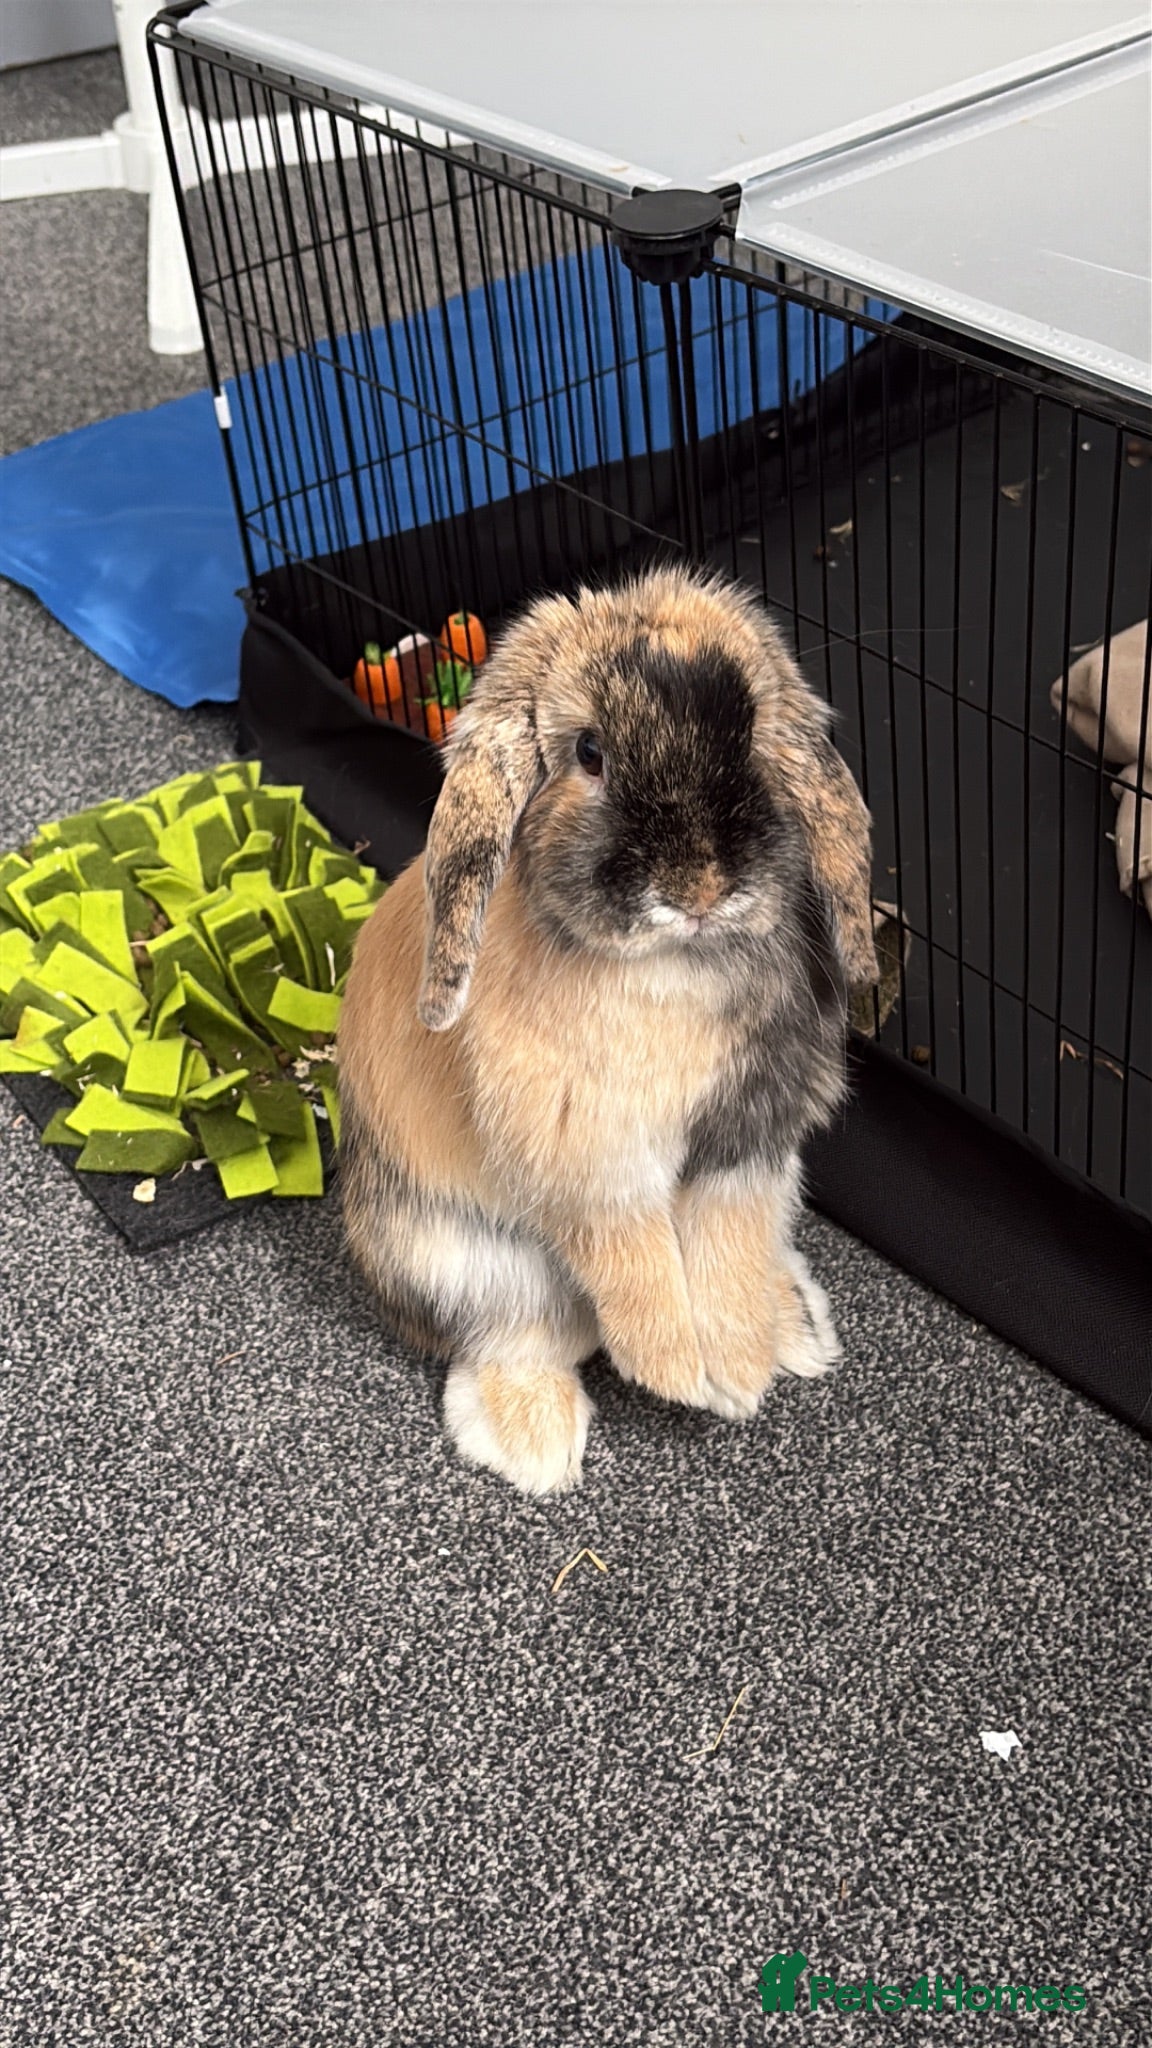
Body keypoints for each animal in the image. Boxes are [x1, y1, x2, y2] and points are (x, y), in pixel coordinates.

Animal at [338, 565, 878, 1495]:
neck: (671, 962)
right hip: (462, 1259)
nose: (700, 887)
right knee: (521, 1337)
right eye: (589, 752)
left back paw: (793, 1327)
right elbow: (639, 1263)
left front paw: (739, 1372)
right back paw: (538, 1447)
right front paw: (679, 1373)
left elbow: (725, 1250)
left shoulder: (745, 1149)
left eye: (751, 738)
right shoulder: (595, 1168)